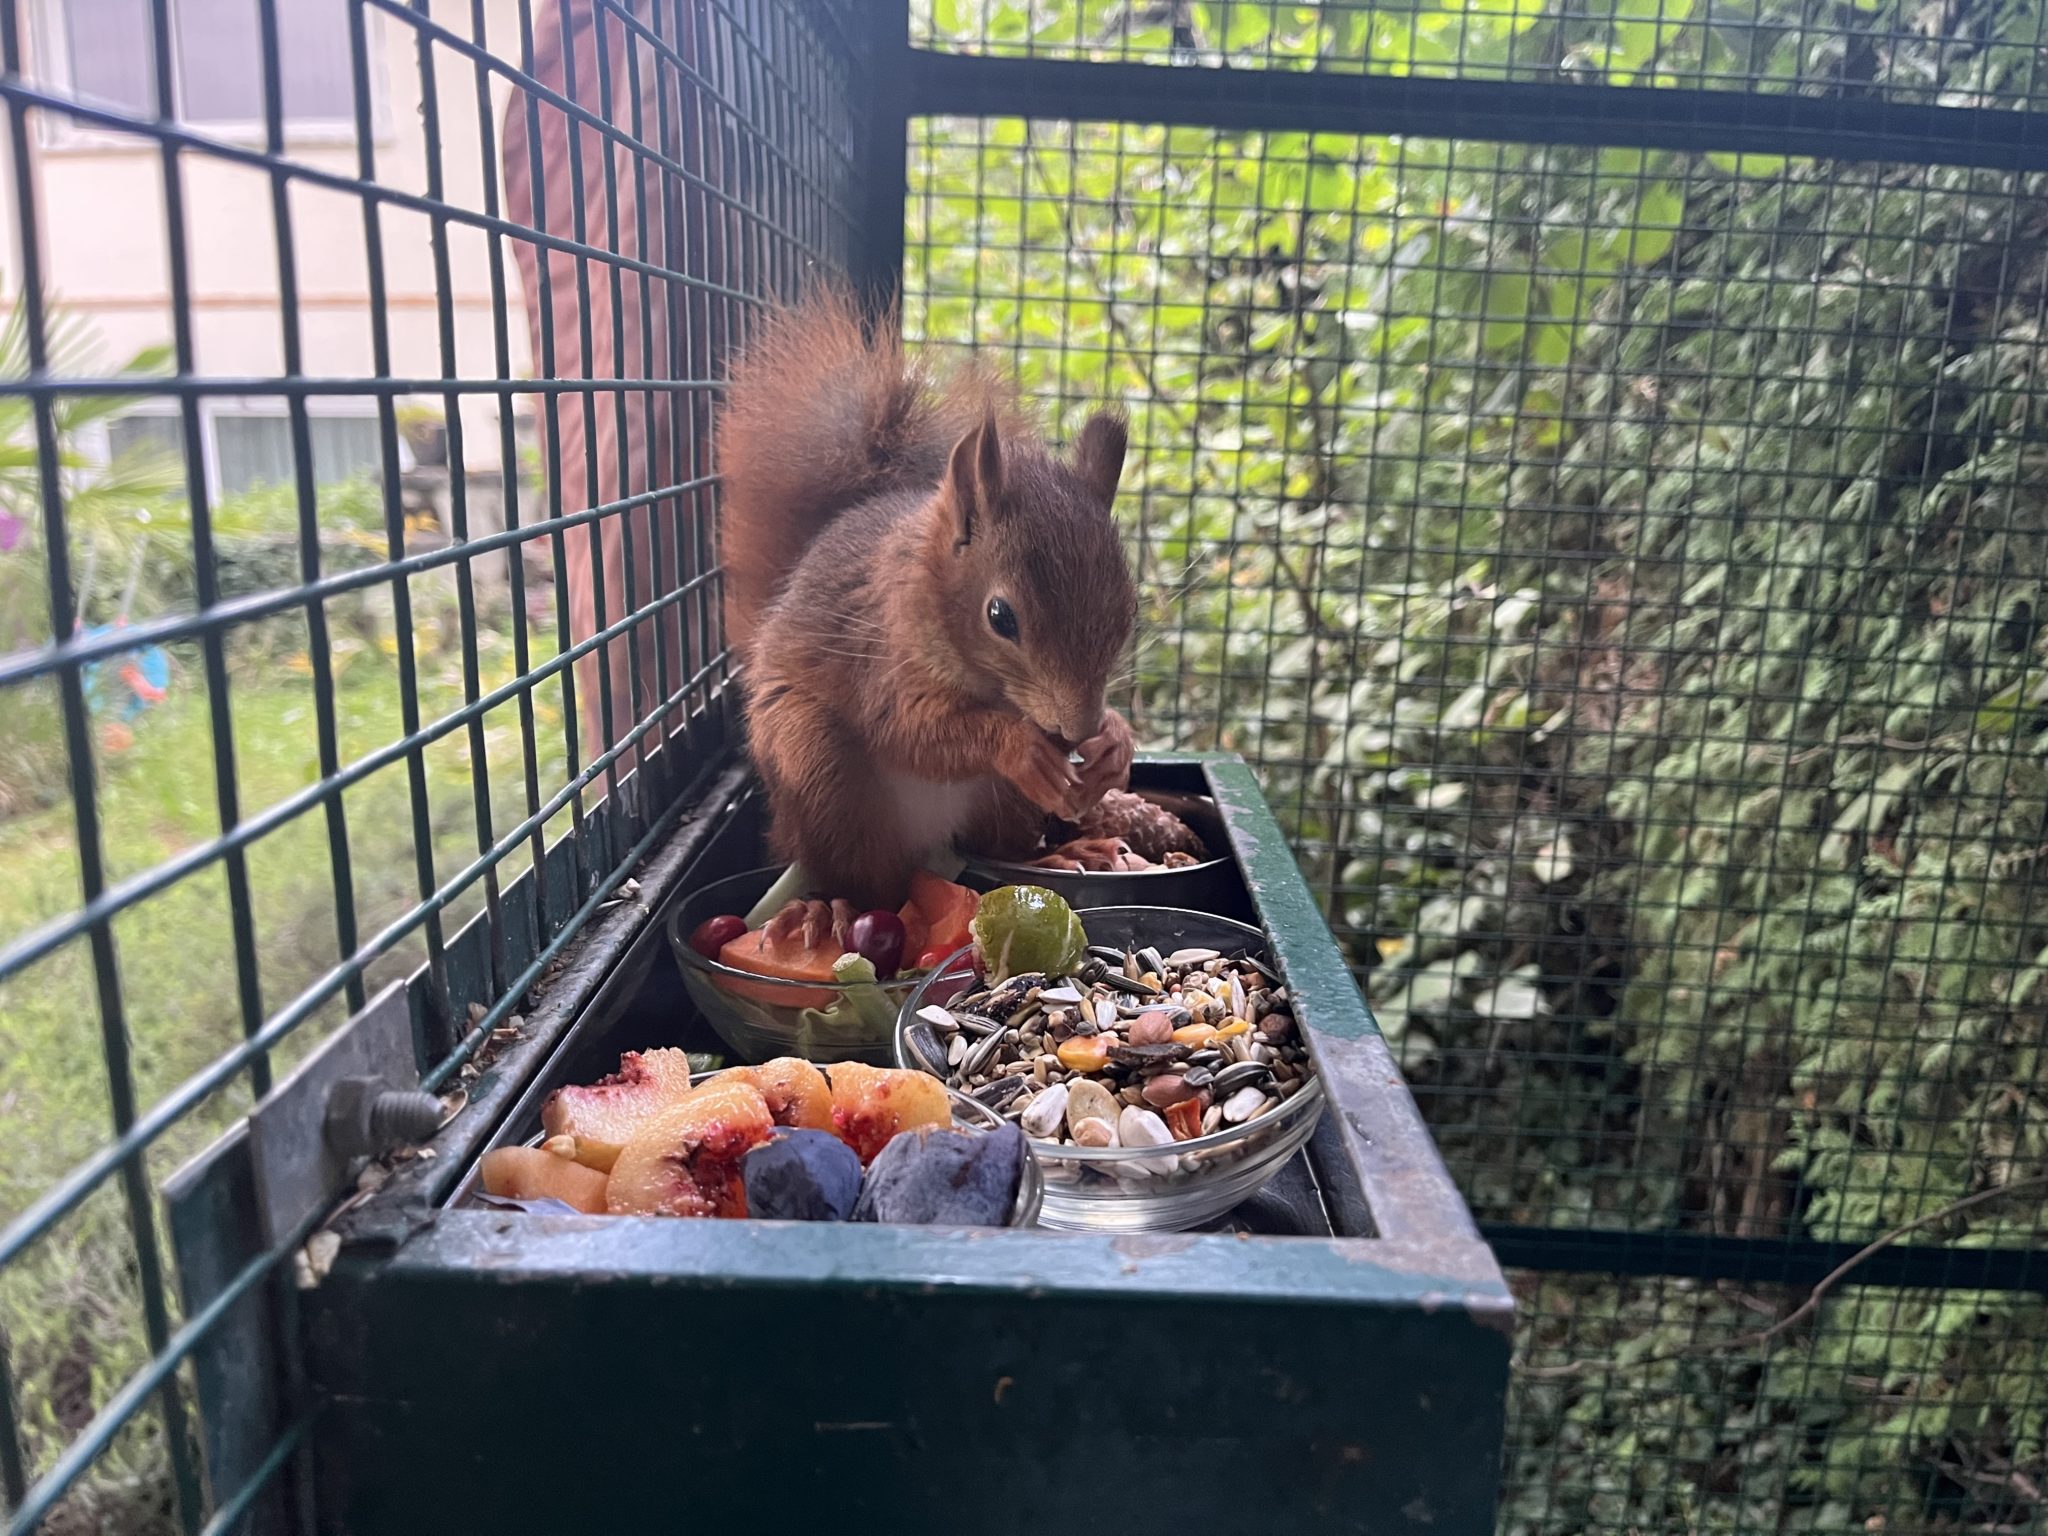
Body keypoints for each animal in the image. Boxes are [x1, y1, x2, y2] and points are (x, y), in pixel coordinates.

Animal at [714, 287, 1137, 912]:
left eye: (1128, 608)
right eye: (1000, 617)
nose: (1074, 731)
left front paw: (1115, 741)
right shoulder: (881, 653)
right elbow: (908, 731)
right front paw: (1022, 747)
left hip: (999, 803)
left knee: (994, 847)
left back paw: (1057, 857)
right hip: (819, 765)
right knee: (863, 878)